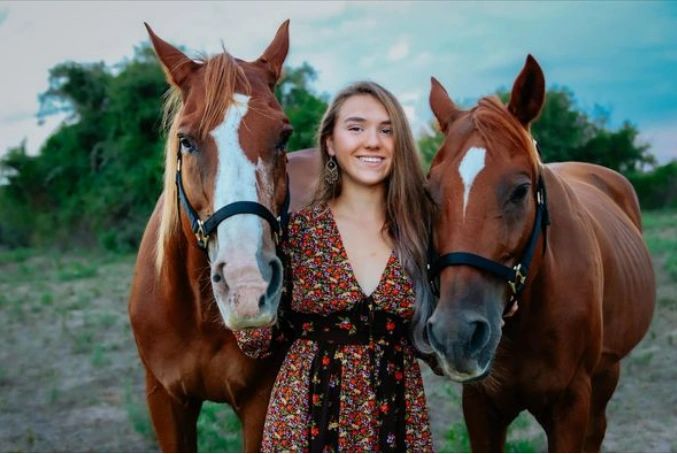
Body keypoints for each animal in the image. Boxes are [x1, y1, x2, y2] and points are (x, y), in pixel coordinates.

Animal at [129, 23, 322, 452]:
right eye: (186, 140)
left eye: (283, 136)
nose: (247, 288)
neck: (201, 314)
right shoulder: (165, 401)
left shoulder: (260, 405)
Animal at [422, 55, 656, 450]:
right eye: (429, 194)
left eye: (520, 190)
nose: (456, 335)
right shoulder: (480, 406)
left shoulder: (571, 405)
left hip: (607, 374)